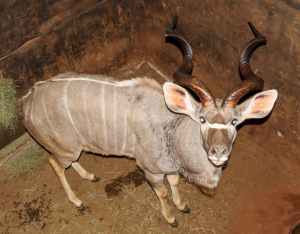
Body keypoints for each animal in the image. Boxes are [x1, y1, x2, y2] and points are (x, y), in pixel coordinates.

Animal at [21, 10, 278, 227]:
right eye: (202, 120)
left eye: (234, 122)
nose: (218, 152)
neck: (173, 128)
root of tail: (27, 101)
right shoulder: (151, 170)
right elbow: (162, 191)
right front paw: (171, 218)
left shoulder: (170, 167)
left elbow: (174, 183)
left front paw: (182, 206)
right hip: (66, 149)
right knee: (54, 163)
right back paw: (77, 202)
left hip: (73, 148)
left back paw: (89, 176)